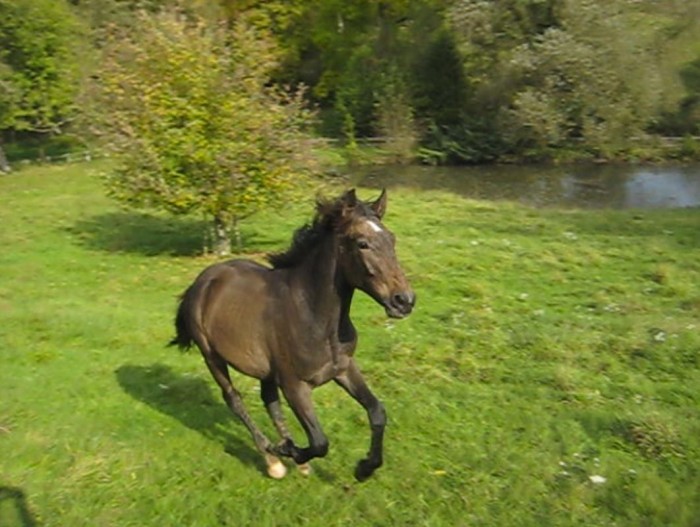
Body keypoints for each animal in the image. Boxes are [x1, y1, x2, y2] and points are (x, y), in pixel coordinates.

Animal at [170, 190, 416, 482]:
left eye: (392, 239)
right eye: (362, 243)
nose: (404, 301)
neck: (316, 318)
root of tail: (201, 282)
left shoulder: (344, 368)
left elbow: (377, 411)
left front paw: (365, 468)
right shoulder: (294, 385)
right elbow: (320, 442)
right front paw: (288, 450)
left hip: (265, 369)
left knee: (269, 399)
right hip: (211, 356)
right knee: (234, 399)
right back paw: (272, 458)